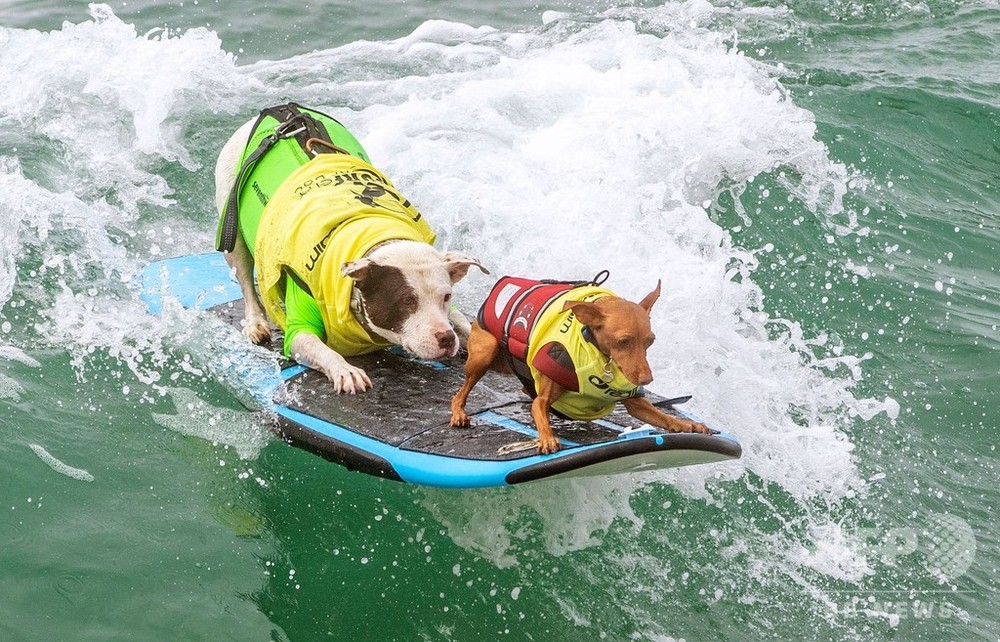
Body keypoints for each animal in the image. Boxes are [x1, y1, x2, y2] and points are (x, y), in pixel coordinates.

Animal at [450, 274, 708, 450]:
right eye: (623, 341)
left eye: (650, 341)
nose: (647, 379)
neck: (595, 349)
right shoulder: (544, 398)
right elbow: (539, 409)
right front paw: (547, 437)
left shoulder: (635, 403)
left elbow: (661, 416)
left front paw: (685, 425)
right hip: (485, 353)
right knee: (460, 393)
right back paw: (458, 412)